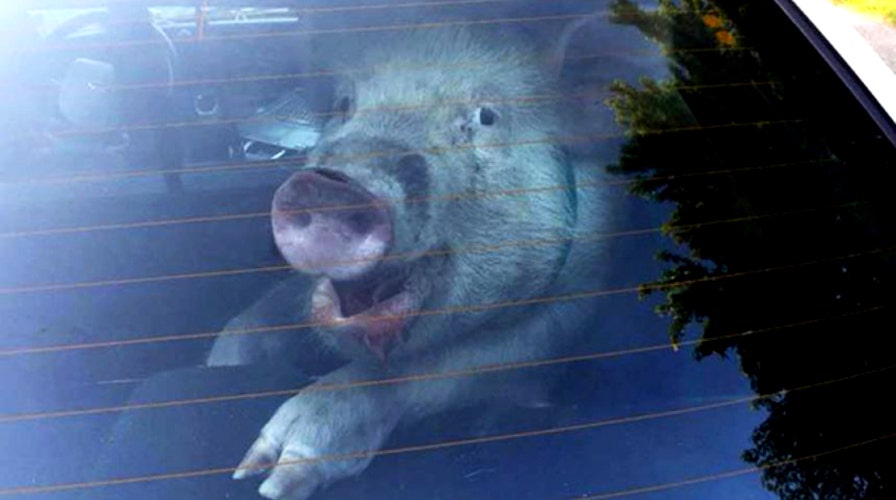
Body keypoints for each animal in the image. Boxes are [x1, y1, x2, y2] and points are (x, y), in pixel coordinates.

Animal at [212, 16, 635, 500]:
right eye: (344, 104)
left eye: (486, 116)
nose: (330, 186)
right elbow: (256, 320)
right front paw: (225, 368)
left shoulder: (574, 302)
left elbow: (448, 367)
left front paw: (271, 478)